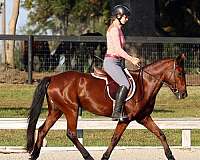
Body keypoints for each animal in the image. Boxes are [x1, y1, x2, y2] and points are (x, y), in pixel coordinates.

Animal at [26, 53, 188, 159]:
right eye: (180, 73)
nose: (184, 94)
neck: (145, 84)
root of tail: (53, 78)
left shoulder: (143, 117)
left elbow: (160, 134)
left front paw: (170, 156)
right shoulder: (125, 119)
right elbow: (115, 138)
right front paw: (104, 157)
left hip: (56, 110)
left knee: (42, 129)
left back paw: (34, 155)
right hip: (71, 109)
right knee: (71, 133)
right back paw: (88, 156)